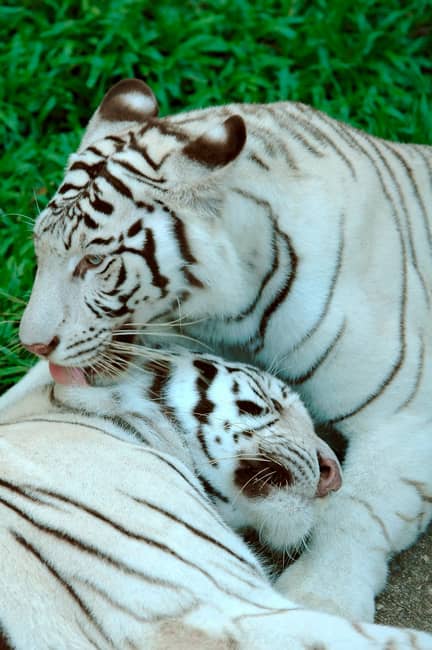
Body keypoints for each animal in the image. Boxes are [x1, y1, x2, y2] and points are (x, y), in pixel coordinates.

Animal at [18, 79, 432, 622]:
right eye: (39, 249)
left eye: (94, 260)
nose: (31, 341)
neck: (231, 312)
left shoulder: (403, 415)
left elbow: (355, 511)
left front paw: (322, 598)